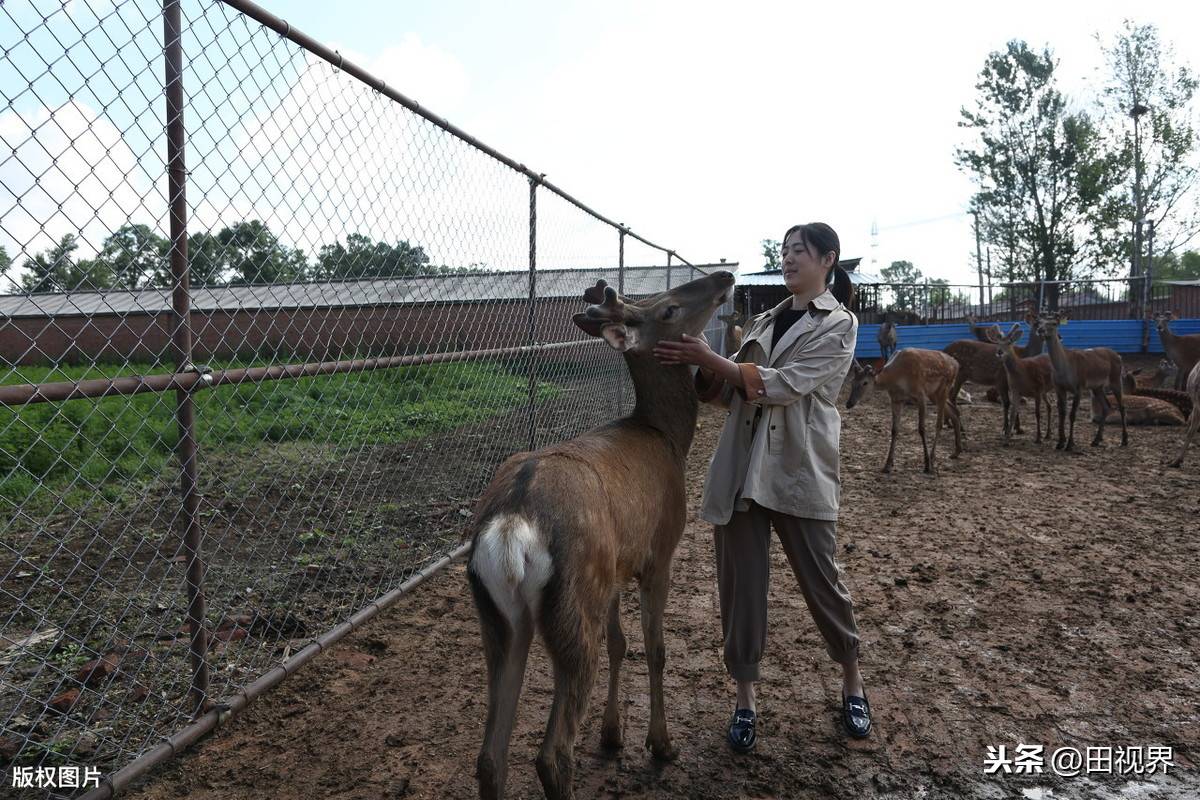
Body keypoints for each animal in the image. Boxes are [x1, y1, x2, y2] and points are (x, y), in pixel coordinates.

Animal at [465, 271, 729, 800]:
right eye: (669, 309)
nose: (725, 276)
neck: (668, 436)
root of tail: (511, 524)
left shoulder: (616, 568)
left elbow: (619, 643)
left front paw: (612, 735)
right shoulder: (659, 552)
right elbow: (654, 648)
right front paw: (659, 744)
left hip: (501, 618)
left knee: (490, 757)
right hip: (575, 599)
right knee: (551, 754)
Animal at [1036, 311, 1128, 450]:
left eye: (1054, 323)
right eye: (1040, 322)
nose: (1040, 330)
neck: (1063, 369)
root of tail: (1119, 356)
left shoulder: (1079, 386)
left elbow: (1072, 414)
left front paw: (1069, 444)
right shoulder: (1059, 387)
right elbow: (1062, 412)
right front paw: (1060, 442)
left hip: (1116, 379)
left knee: (1122, 406)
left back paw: (1124, 440)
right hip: (1097, 387)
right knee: (1106, 406)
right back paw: (1096, 440)